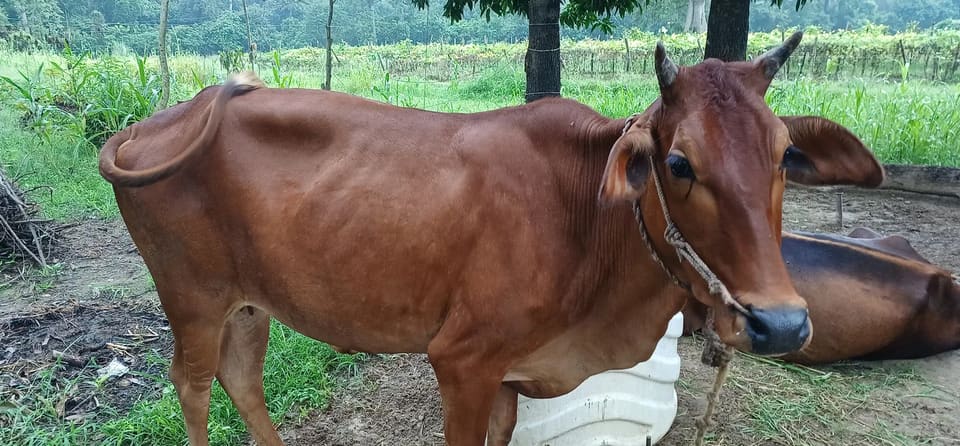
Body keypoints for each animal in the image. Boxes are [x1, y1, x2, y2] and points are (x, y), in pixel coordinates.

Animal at [98, 33, 884, 446]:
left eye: (785, 154)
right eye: (679, 162)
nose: (781, 323)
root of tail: (160, 119)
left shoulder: (508, 376)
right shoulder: (462, 360)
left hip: (250, 301)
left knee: (242, 377)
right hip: (192, 296)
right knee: (193, 384)